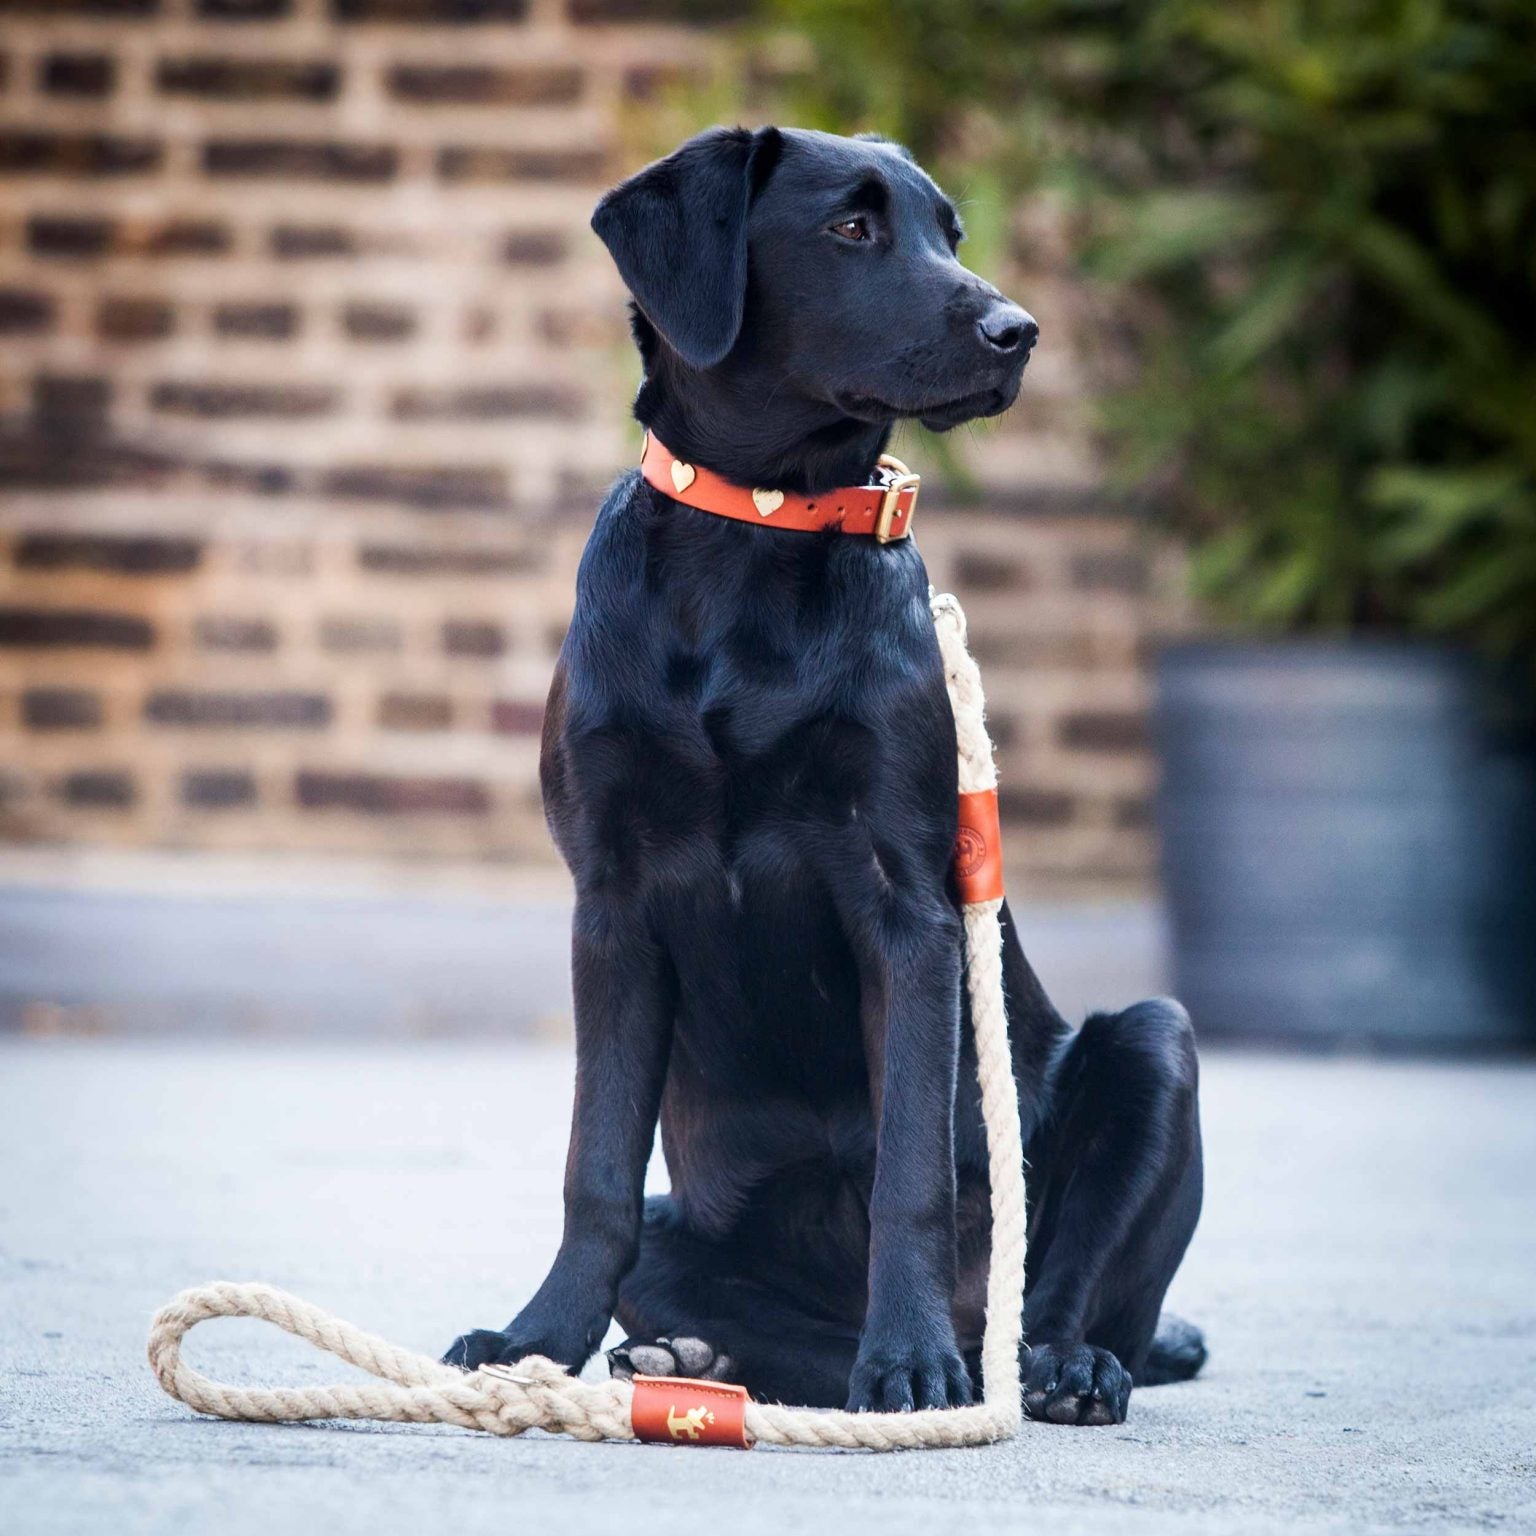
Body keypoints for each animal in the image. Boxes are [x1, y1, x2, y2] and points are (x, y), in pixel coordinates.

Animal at [448, 125, 1204, 1419]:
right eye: (851, 228)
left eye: (949, 230)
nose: (1018, 331)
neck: (758, 532)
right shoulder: (610, 903)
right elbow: (594, 1167)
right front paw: (537, 1339)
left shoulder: (905, 904)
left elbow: (910, 1169)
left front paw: (908, 1359)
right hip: (688, 1225)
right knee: (772, 1333)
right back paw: (690, 1357)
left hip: (1155, 1050)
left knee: (1047, 1307)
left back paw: (1037, 1365)